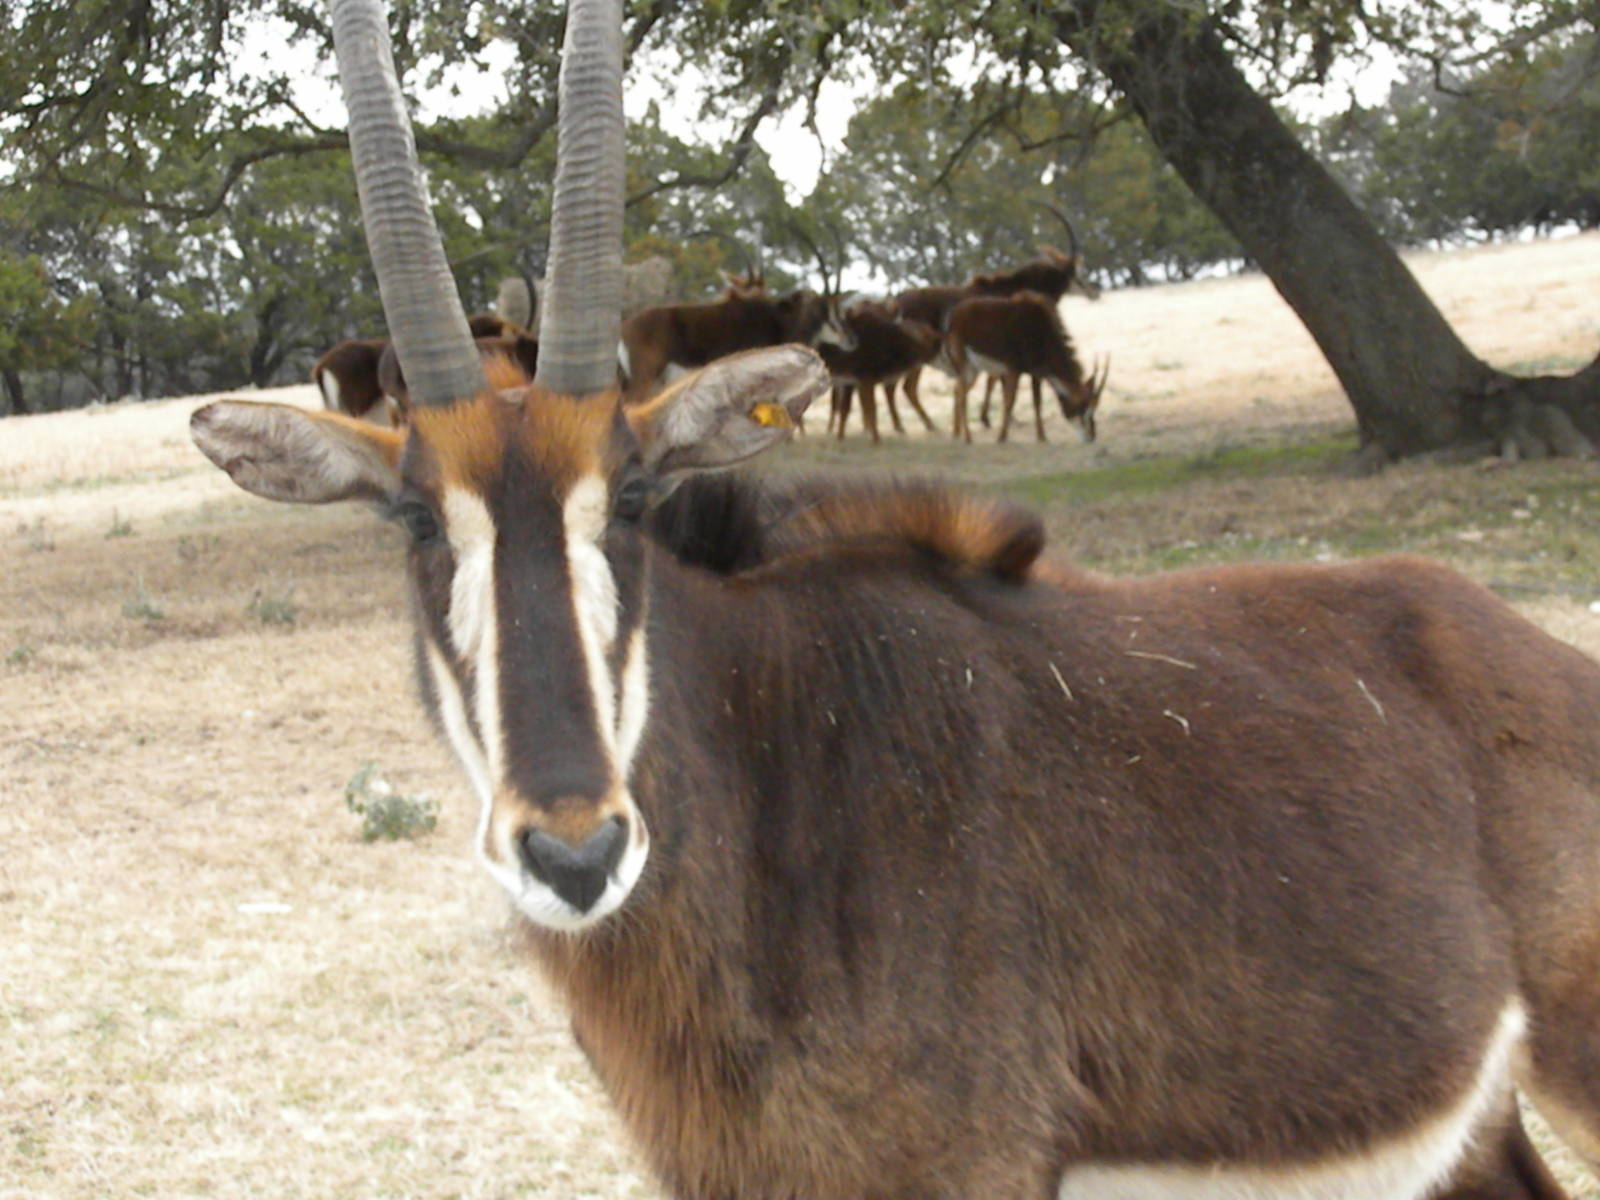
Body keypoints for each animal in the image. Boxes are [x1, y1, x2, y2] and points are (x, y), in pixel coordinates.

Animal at [946, 290, 1108, 443]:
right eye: (1083, 408)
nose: (1091, 437)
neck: (1041, 331)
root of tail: (956, 314)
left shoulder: (1037, 373)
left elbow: (1037, 402)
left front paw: (1042, 437)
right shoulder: (1013, 370)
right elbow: (1009, 401)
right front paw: (1001, 437)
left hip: (974, 369)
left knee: (958, 390)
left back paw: (956, 434)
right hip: (964, 363)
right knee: (962, 394)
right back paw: (968, 438)